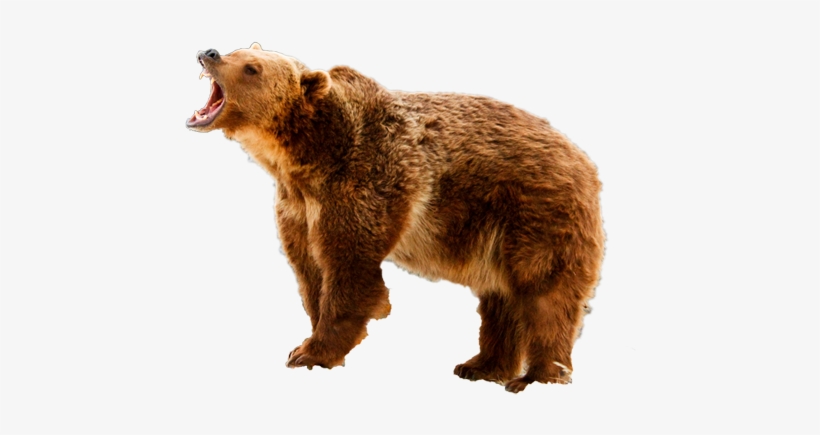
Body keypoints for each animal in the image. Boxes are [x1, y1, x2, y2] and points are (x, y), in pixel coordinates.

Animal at [186, 43, 605, 393]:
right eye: (238, 50)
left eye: (251, 68)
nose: (209, 53)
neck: (306, 156)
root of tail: (584, 160)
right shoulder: (298, 208)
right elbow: (310, 272)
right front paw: (305, 341)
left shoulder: (365, 181)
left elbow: (350, 269)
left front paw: (312, 352)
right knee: (501, 299)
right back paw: (481, 366)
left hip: (536, 213)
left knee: (545, 295)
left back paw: (536, 378)